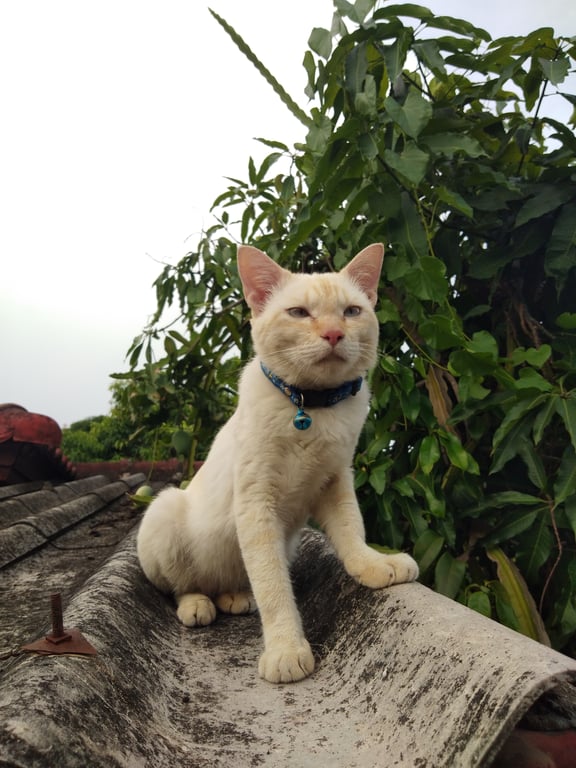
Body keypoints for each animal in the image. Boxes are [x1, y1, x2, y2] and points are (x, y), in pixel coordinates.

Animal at [136, 243, 419, 684]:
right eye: (299, 313)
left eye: (352, 311)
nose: (333, 334)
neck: (310, 408)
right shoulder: (256, 504)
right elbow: (273, 586)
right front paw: (286, 648)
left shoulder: (334, 482)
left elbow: (352, 531)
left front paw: (374, 564)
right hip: (165, 511)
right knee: (183, 585)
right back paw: (197, 604)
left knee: (233, 579)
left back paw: (233, 595)